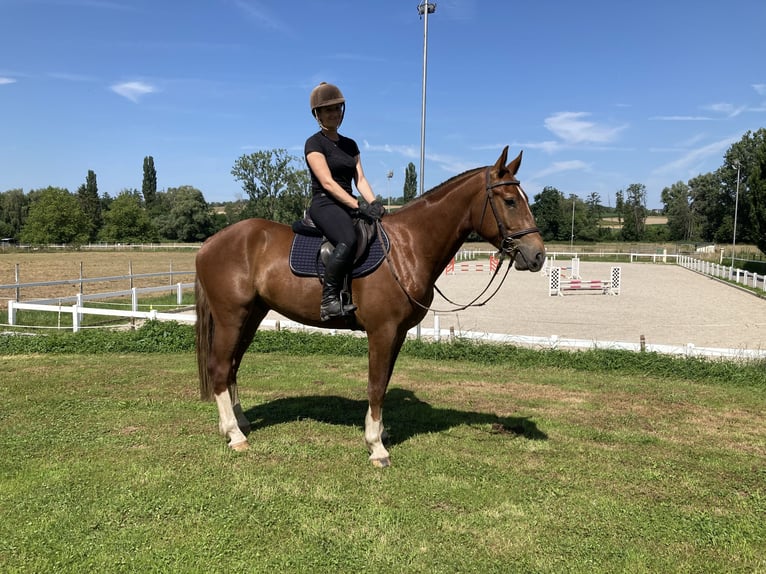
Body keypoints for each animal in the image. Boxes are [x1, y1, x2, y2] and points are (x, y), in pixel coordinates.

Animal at [198, 146, 544, 466]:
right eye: (510, 201)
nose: (537, 255)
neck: (406, 247)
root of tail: (210, 243)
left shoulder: (398, 334)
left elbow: (385, 382)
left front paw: (379, 432)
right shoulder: (382, 331)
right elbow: (376, 385)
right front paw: (376, 447)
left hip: (252, 316)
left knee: (232, 367)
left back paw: (240, 422)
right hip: (231, 318)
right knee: (219, 367)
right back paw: (235, 434)